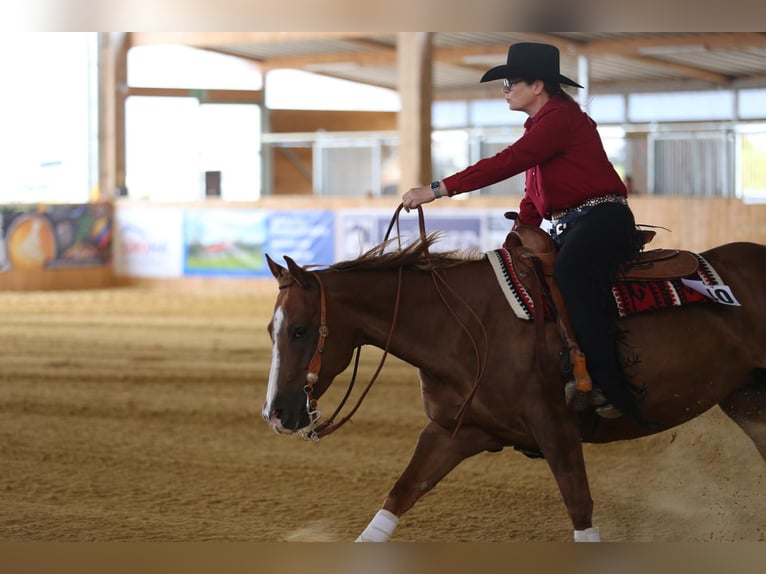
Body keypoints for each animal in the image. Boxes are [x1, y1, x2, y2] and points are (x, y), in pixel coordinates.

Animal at [262, 220, 766, 544]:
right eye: (271, 329)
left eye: (300, 330)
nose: (276, 413)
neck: (464, 325)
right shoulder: (454, 432)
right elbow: (397, 498)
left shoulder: (556, 429)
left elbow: (580, 510)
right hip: (748, 401)